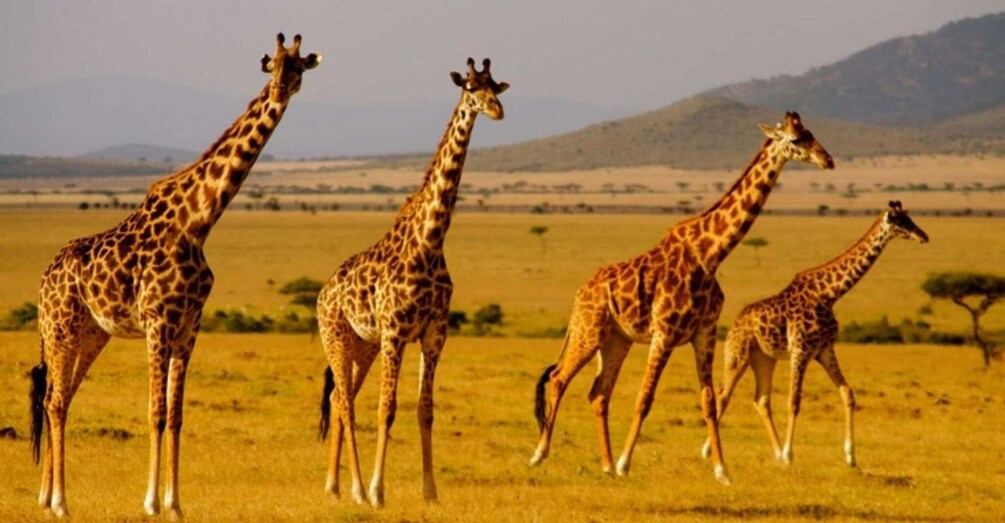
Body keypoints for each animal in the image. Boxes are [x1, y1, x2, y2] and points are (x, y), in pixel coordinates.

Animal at [27, 34, 321, 518]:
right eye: (273, 66)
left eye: (298, 67)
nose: (281, 90)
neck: (198, 222)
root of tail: (43, 278)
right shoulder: (157, 323)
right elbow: (156, 412)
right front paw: (150, 502)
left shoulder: (189, 326)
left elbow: (178, 414)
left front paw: (176, 504)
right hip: (59, 327)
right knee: (52, 400)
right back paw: (60, 502)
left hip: (92, 333)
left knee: (61, 397)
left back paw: (47, 497)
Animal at [316, 58, 508, 508]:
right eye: (470, 88)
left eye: (496, 87)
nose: (496, 110)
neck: (430, 242)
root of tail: (322, 292)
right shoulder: (395, 332)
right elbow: (387, 407)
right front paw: (377, 490)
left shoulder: (434, 332)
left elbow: (425, 409)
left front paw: (430, 492)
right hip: (336, 336)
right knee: (346, 402)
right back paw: (355, 489)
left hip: (362, 346)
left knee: (340, 397)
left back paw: (334, 486)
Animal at [529, 112, 834, 484]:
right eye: (795, 140)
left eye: (811, 133)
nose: (827, 160)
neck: (711, 255)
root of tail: (579, 292)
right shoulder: (663, 333)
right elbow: (645, 398)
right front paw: (626, 464)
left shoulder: (704, 333)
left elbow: (709, 401)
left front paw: (722, 471)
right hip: (589, 331)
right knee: (559, 378)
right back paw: (540, 454)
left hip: (616, 340)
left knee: (598, 393)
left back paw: (605, 465)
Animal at [702, 201, 928, 468]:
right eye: (900, 221)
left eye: (910, 218)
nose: (923, 236)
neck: (829, 295)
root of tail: (735, 322)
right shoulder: (800, 349)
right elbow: (794, 401)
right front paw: (790, 455)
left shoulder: (825, 349)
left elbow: (847, 393)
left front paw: (851, 456)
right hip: (738, 354)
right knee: (722, 394)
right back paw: (710, 451)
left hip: (764, 359)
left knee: (761, 400)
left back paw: (774, 453)